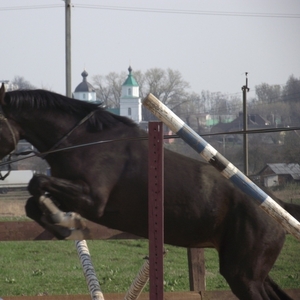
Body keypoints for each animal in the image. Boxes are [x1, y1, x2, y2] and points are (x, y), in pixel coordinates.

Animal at [0, 83, 300, 298]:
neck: (80, 141)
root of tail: (279, 209)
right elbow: (32, 199)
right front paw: (61, 224)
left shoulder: (92, 199)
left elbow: (37, 183)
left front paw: (64, 223)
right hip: (252, 272)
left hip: (243, 275)